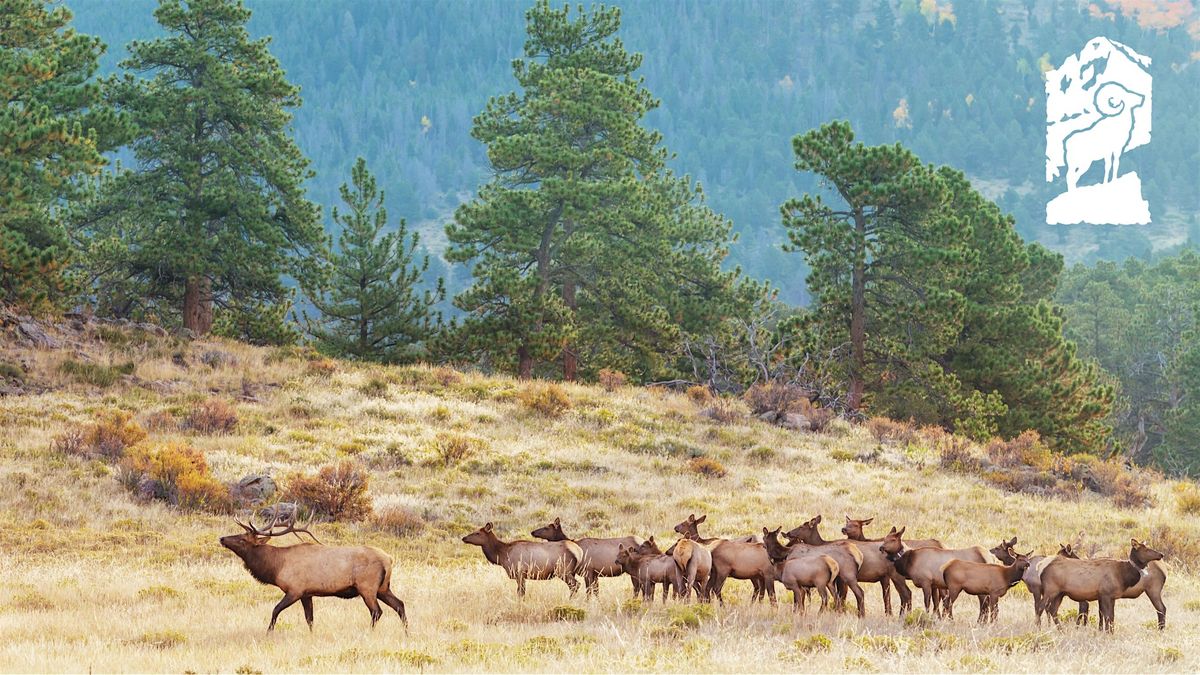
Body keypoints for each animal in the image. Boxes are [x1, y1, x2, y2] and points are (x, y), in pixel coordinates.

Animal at [219, 510, 407, 632]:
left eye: (243, 540)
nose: (222, 538)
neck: (276, 567)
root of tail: (389, 559)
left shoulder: (295, 590)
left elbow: (275, 610)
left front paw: (268, 632)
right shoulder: (307, 594)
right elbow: (310, 619)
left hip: (367, 587)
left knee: (377, 611)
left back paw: (370, 632)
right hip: (383, 588)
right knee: (400, 605)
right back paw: (406, 632)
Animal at [1038, 539, 1167, 631]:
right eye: (1146, 549)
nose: (1161, 554)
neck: (1123, 575)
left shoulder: (1110, 596)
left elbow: (1109, 617)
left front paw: (1107, 632)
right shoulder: (1104, 594)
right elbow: (1107, 617)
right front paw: (1107, 632)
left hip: (1059, 593)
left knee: (1052, 610)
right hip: (1051, 591)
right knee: (1041, 607)